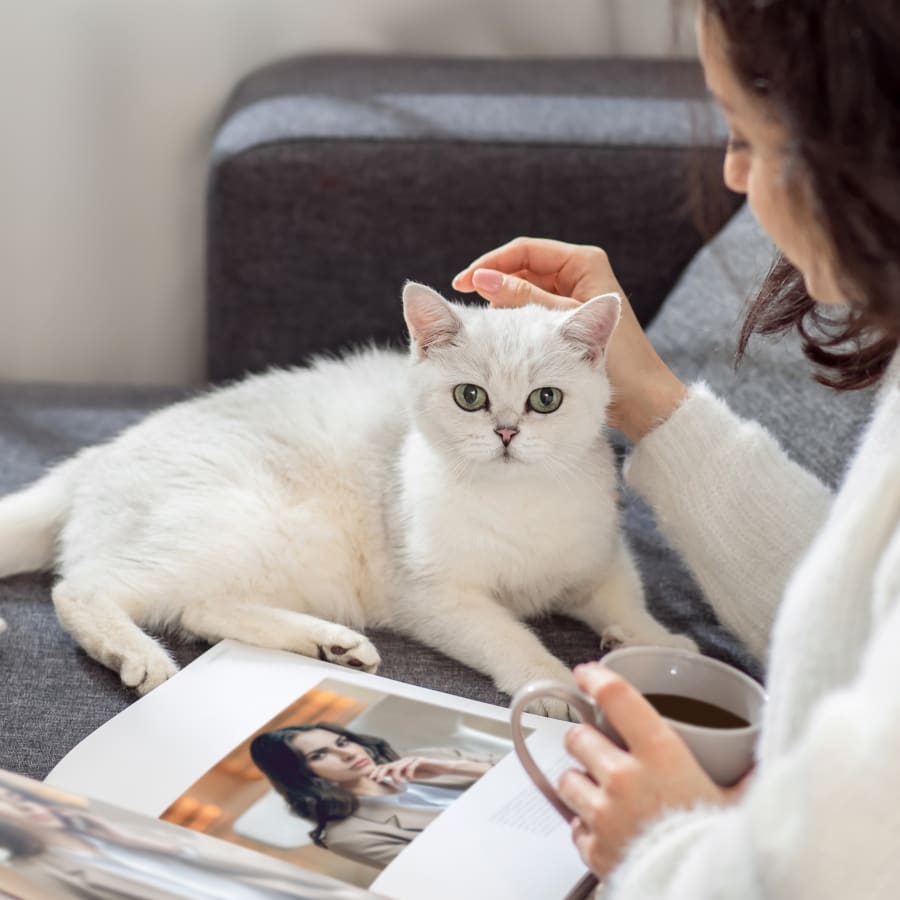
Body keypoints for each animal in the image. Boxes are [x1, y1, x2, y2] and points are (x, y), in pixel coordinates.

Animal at [0, 284, 692, 712]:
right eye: (470, 396)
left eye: (545, 400)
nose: (505, 433)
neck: (517, 499)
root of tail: (96, 457)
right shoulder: (439, 597)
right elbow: (512, 638)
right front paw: (549, 685)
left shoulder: (601, 556)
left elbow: (627, 599)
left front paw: (661, 644)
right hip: (237, 524)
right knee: (86, 589)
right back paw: (140, 657)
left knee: (199, 609)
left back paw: (331, 644)